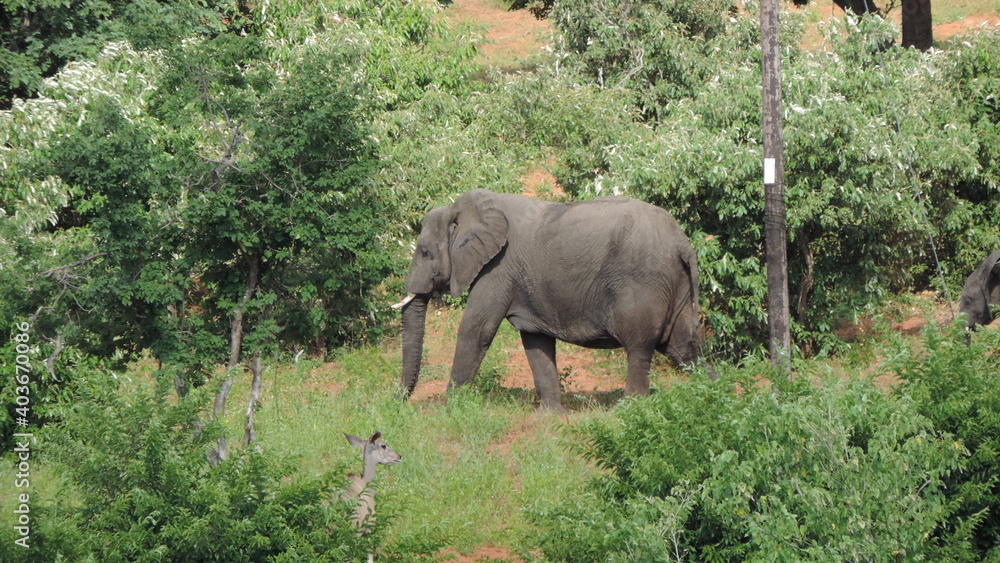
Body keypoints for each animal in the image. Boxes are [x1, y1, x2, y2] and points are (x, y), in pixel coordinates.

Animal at [395, 189, 712, 410]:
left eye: (425, 252)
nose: (396, 402)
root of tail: (683, 243)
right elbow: (535, 341)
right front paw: (551, 415)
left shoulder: (498, 267)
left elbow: (476, 331)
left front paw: (450, 409)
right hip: (676, 283)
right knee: (683, 349)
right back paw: (713, 395)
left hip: (644, 283)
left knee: (640, 346)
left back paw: (630, 409)